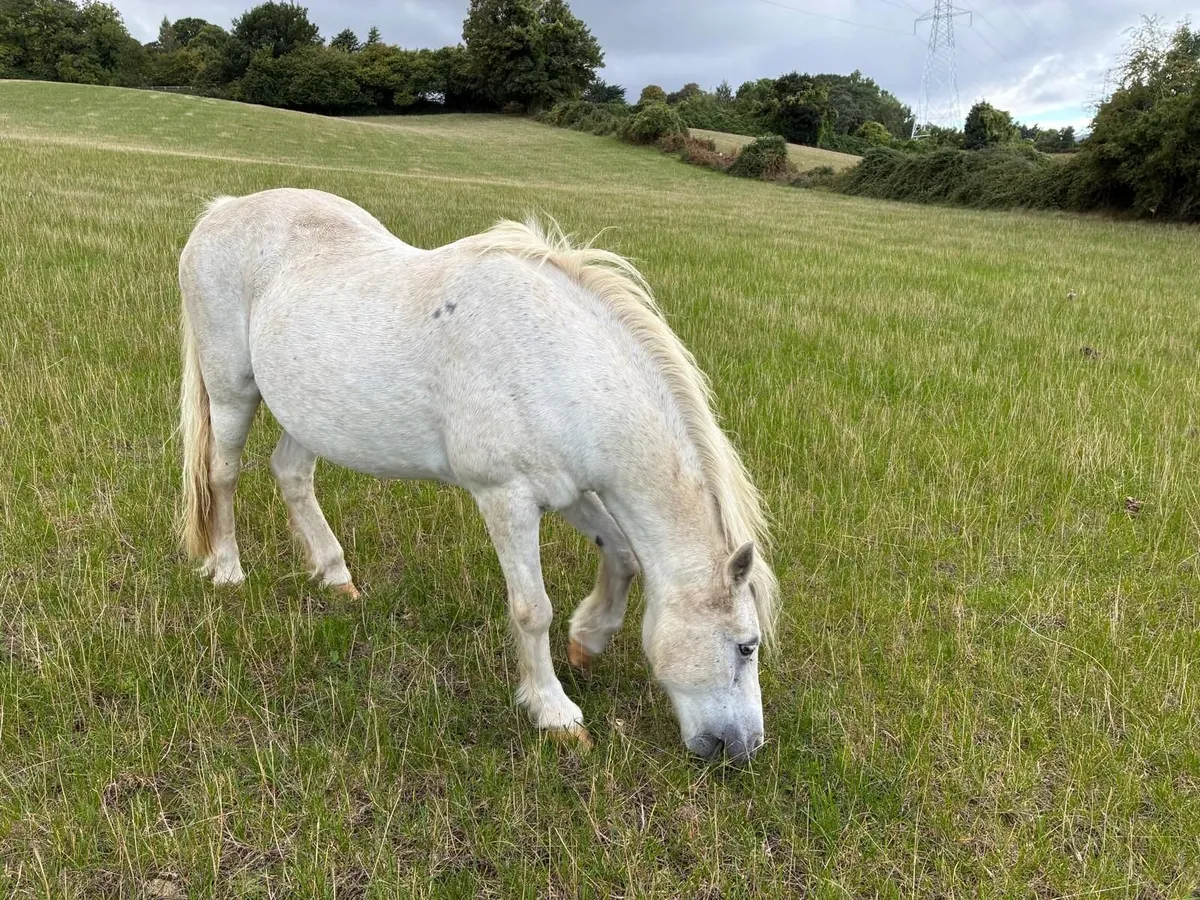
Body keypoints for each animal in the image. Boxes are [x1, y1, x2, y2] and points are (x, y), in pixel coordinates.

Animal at [177, 188, 779, 763]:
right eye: (746, 646)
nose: (744, 749)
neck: (555, 360)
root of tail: (223, 212)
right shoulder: (506, 497)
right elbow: (533, 609)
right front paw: (555, 714)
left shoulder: (566, 489)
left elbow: (624, 555)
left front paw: (587, 641)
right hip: (232, 390)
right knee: (222, 476)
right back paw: (227, 569)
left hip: (310, 413)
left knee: (292, 475)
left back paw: (335, 575)